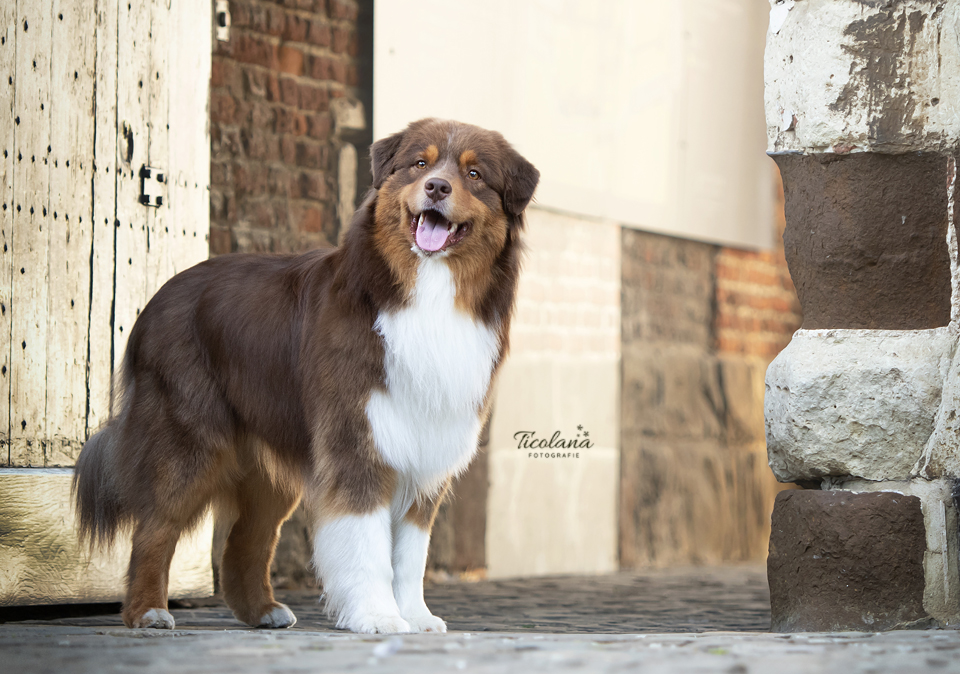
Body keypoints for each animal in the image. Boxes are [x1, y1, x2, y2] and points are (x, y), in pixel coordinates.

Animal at [73, 118, 540, 632]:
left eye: (474, 174)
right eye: (420, 163)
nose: (437, 187)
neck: (426, 292)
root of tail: (156, 298)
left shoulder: (425, 451)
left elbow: (410, 554)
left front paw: (416, 617)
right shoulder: (357, 441)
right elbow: (368, 546)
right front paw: (377, 616)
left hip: (267, 463)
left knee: (246, 539)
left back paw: (262, 611)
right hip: (186, 439)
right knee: (154, 527)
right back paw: (148, 611)